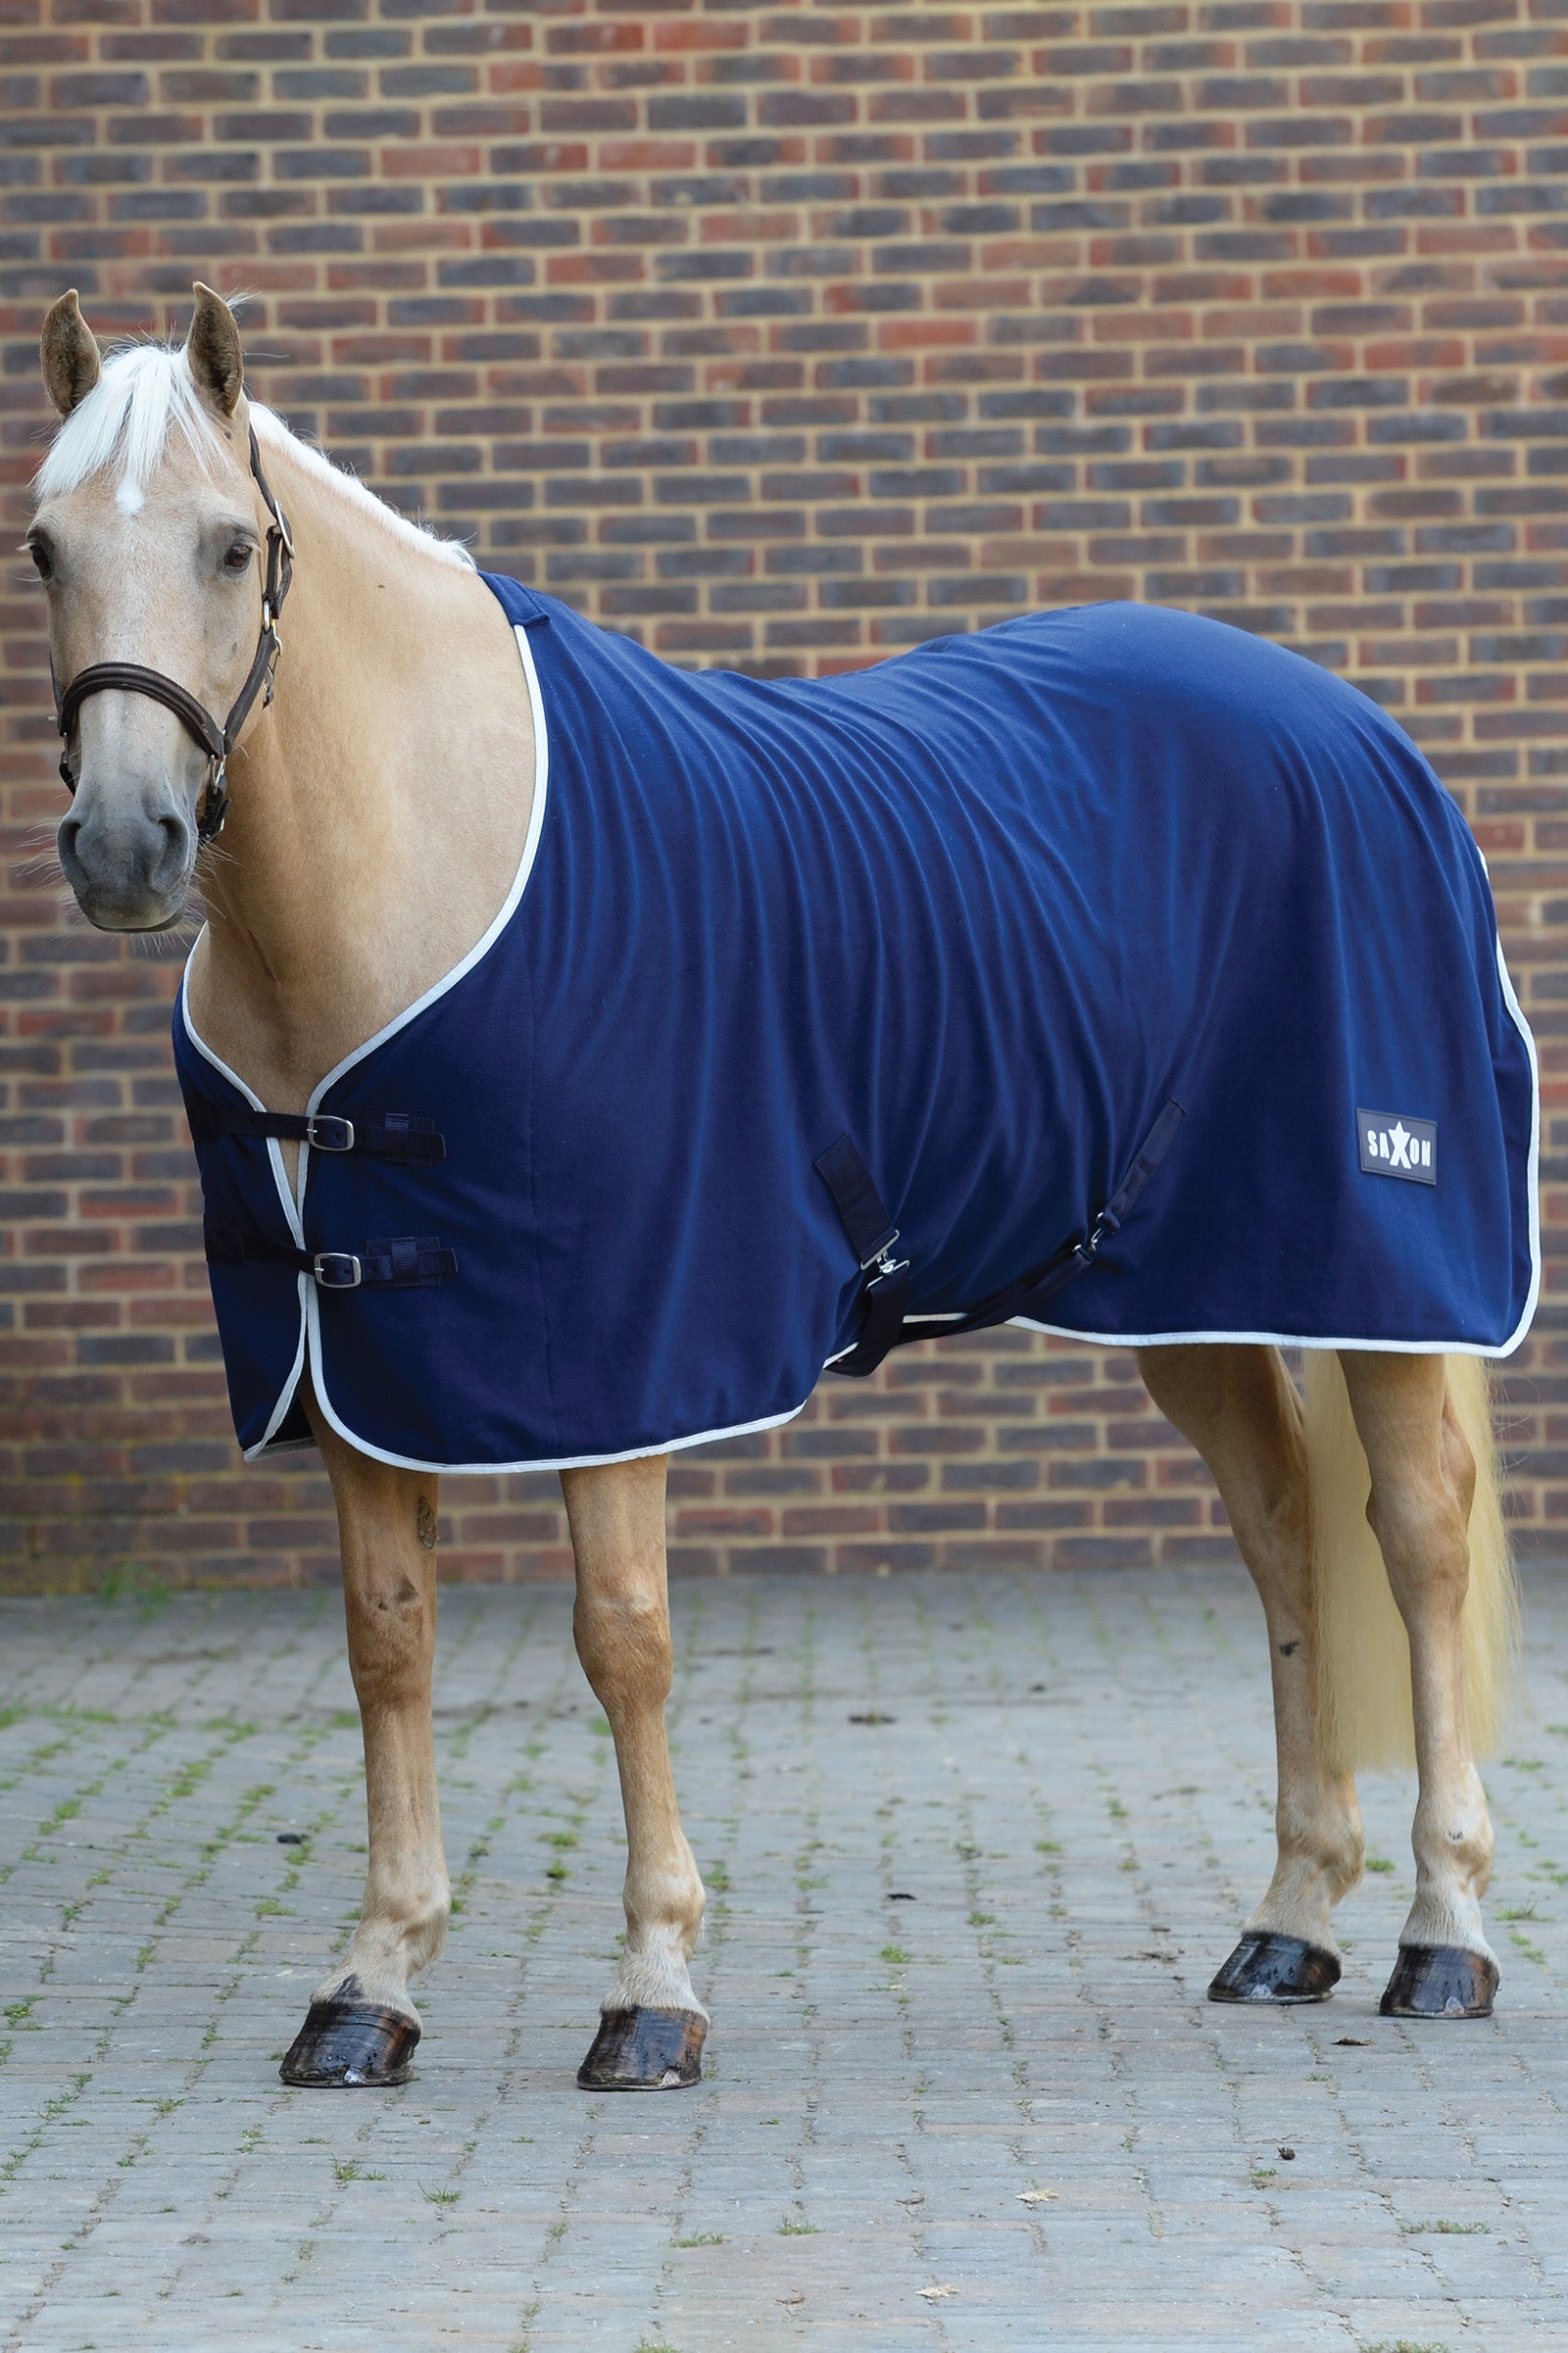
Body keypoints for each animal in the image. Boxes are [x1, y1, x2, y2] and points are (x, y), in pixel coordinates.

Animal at [26, 282, 1533, 2091]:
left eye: (234, 545)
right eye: (42, 547)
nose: (128, 845)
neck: (424, 872)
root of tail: (1372, 739)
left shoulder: (617, 1350)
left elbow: (624, 1639)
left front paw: (653, 1989)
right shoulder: (351, 1360)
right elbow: (387, 1641)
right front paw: (371, 1986)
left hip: (1383, 1271)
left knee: (1416, 1538)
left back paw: (1443, 1937)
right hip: (1203, 1292)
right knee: (1285, 1533)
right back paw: (1291, 1922)